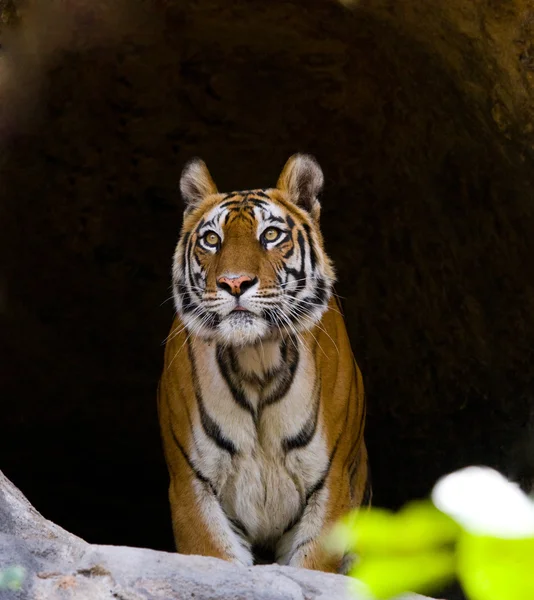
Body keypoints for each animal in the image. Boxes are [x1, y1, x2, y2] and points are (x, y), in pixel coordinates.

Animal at [157, 154, 370, 572]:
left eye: (270, 235)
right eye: (211, 240)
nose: (234, 283)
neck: (256, 361)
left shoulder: (331, 485)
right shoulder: (192, 486)